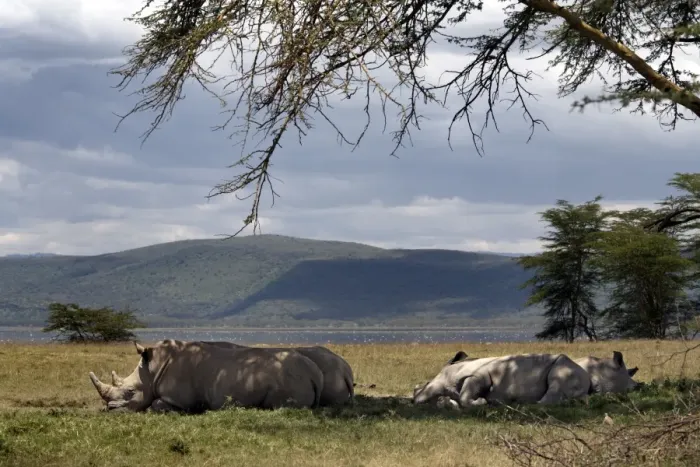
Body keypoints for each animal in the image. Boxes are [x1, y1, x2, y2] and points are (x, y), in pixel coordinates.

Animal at [89, 339, 323, 412]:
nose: (109, 410)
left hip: (289, 378)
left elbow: (155, 403)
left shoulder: (180, 400)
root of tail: (315, 373)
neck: (151, 370)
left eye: (130, 392)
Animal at [412, 350, 593, 407]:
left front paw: (483, 402)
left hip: (565, 367)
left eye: (424, 385)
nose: (413, 400)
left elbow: (465, 396)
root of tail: (588, 379)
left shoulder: (479, 375)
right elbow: (459, 399)